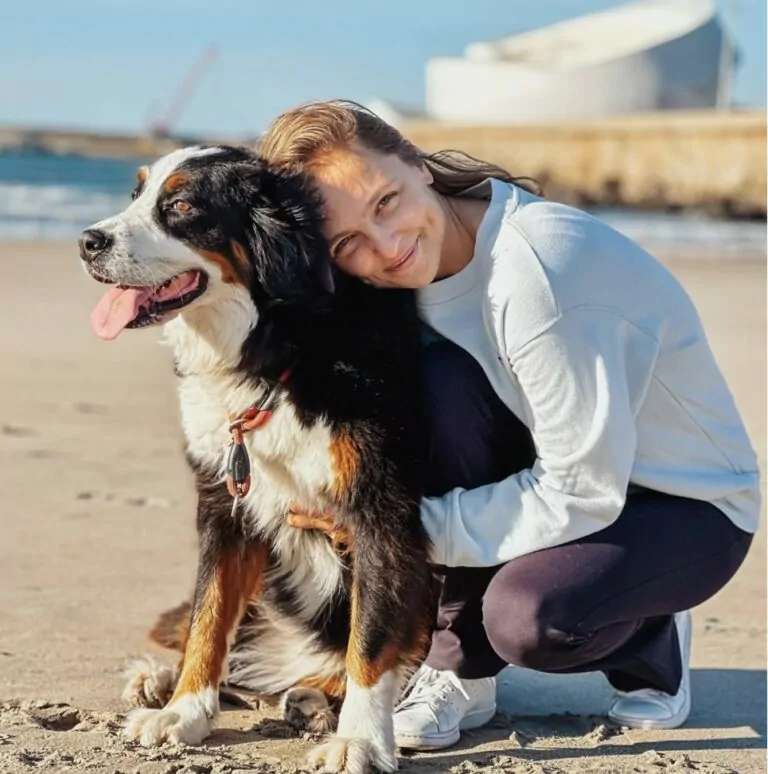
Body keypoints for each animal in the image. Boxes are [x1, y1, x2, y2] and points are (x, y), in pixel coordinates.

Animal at [82, 147, 438, 774]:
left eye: (181, 206)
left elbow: (371, 638)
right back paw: (159, 681)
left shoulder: (383, 511)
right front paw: (184, 711)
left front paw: (360, 740)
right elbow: (207, 616)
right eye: (135, 194)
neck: (274, 351)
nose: (87, 242)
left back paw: (313, 700)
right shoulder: (222, 504)